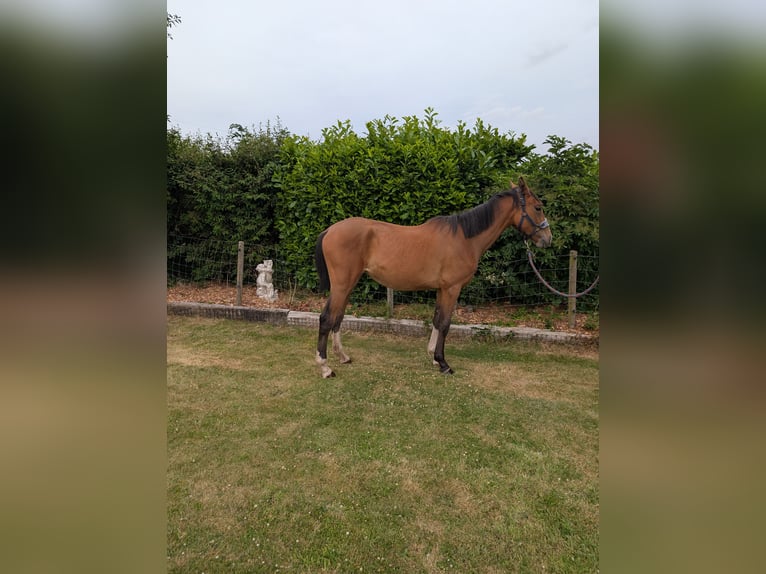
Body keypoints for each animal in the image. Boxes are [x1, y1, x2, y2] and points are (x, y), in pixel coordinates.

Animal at [313, 177, 552, 378]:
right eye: (538, 207)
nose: (547, 239)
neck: (464, 238)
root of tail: (329, 231)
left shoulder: (441, 289)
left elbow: (437, 320)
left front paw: (434, 358)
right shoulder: (452, 288)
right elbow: (445, 323)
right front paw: (443, 363)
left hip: (348, 284)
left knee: (338, 317)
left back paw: (343, 357)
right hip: (342, 285)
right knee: (326, 318)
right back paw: (325, 367)